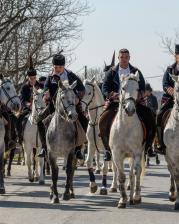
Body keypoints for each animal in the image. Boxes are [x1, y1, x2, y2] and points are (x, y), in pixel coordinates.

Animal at [109, 72, 145, 209]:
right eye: (123, 88)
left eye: (137, 89)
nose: (130, 110)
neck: (125, 126)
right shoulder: (116, 154)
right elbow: (121, 176)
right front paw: (122, 200)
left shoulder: (136, 153)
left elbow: (135, 172)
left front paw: (135, 197)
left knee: (135, 173)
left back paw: (134, 197)